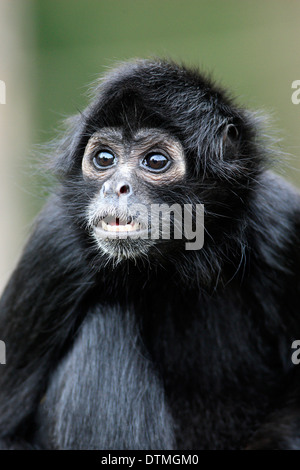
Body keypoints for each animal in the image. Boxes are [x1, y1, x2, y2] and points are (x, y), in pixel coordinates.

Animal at [0, 60, 300, 450]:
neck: (174, 267)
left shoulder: (281, 222)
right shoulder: (53, 247)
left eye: (155, 161)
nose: (115, 187)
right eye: (104, 158)